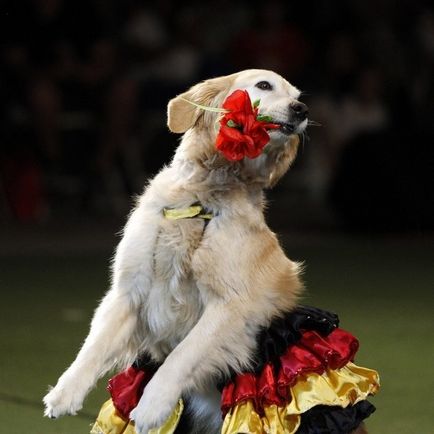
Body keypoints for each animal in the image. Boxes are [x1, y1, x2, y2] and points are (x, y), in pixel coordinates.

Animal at [41, 69, 366, 432]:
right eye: (264, 85)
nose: (301, 110)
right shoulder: (129, 291)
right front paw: (64, 393)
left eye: (297, 96)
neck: (202, 196)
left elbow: (183, 355)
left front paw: (152, 404)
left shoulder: (230, 306)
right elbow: (94, 345)